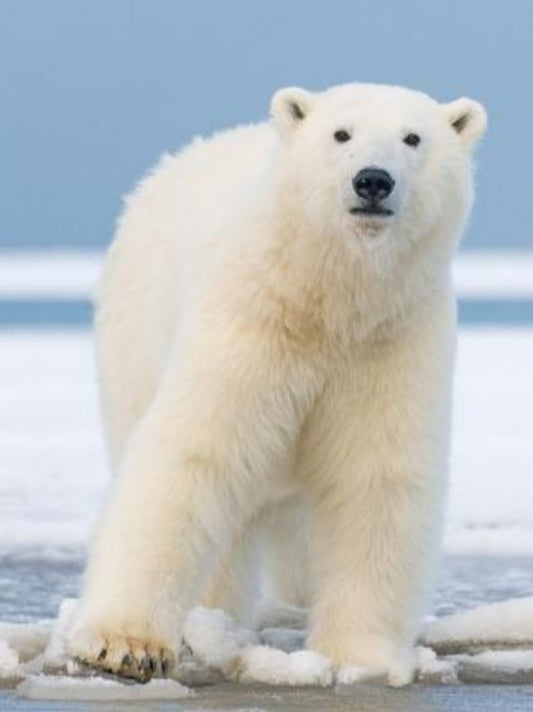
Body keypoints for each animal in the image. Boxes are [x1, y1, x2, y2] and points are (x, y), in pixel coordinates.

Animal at [67, 82, 487, 686]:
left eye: (413, 138)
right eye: (341, 133)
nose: (373, 180)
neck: (329, 300)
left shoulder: (390, 343)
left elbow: (375, 478)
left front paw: (361, 658)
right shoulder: (251, 322)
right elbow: (193, 456)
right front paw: (124, 645)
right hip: (135, 335)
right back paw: (212, 619)